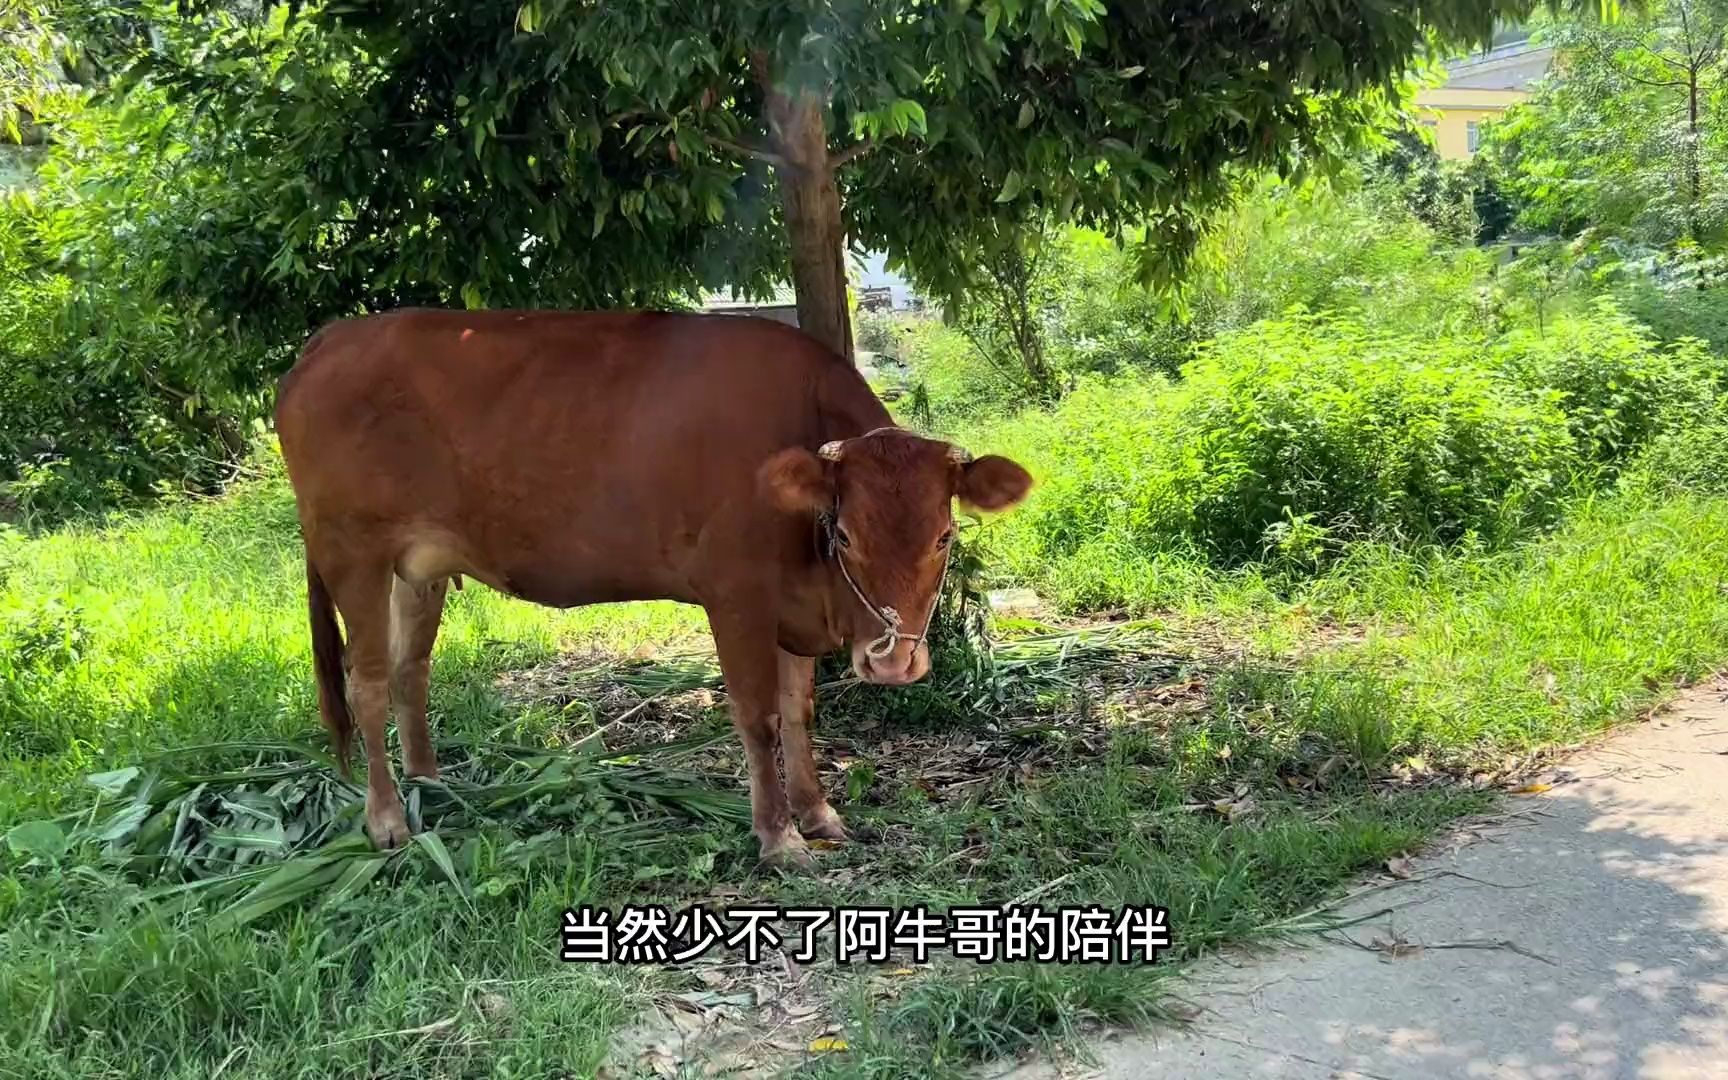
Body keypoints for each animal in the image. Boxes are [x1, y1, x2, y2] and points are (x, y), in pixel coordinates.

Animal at [269, 307, 1022, 864]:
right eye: (843, 535)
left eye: (944, 536)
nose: (893, 662)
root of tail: (329, 339)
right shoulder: (735, 594)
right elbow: (759, 717)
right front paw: (778, 837)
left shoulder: (791, 605)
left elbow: (800, 712)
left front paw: (818, 813)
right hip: (352, 552)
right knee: (365, 683)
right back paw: (388, 820)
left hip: (417, 564)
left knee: (409, 670)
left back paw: (432, 784)